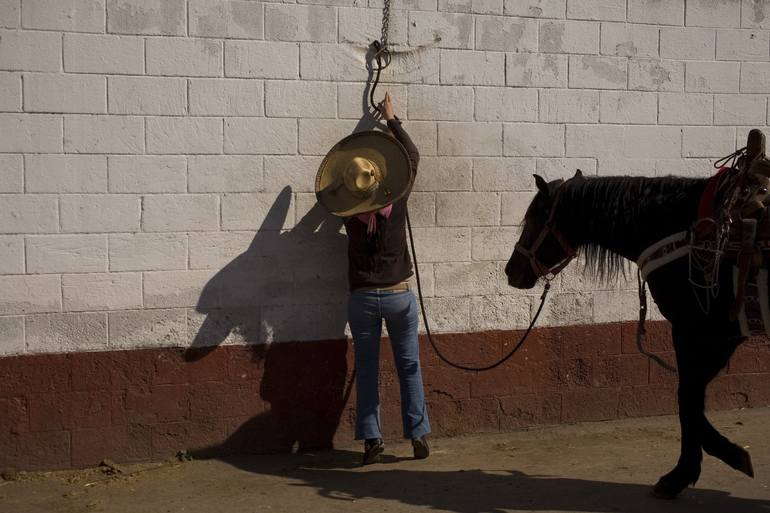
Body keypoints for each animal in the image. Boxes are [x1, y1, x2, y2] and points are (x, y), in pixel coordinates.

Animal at [504, 165, 760, 500]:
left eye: (533, 219)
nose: (511, 271)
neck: (683, 227)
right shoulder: (715, 337)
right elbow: (690, 399)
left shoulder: (702, 332)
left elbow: (687, 399)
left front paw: (681, 475)